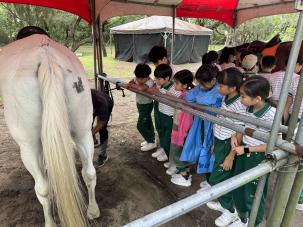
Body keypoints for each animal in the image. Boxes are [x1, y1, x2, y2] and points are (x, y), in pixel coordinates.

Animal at [0, 34, 101, 227]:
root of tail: (46, 56)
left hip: (28, 147)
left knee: (43, 188)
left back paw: (50, 222)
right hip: (83, 132)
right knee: (89, 173)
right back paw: (93, 211)